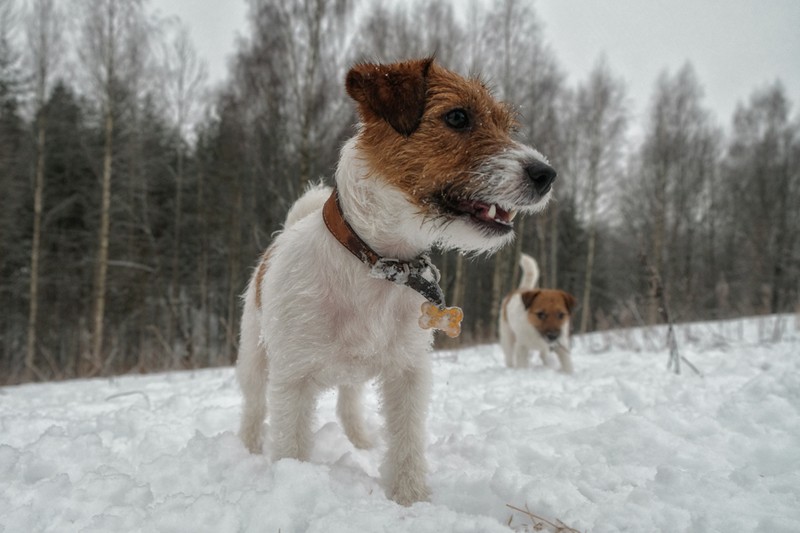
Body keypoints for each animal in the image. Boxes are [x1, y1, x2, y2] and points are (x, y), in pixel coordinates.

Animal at [231, 58, 556, 502]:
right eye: (457, 117)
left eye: (506, 125)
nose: (548, 174)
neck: (379, 264)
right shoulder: (292, 381)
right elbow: (291, 445)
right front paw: (290, 482)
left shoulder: (408, 373)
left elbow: (406, 440)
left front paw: (410, 498)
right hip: (255, 356)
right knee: (253, 407)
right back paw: (247, 450)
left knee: (348, 404)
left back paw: (362, 442)